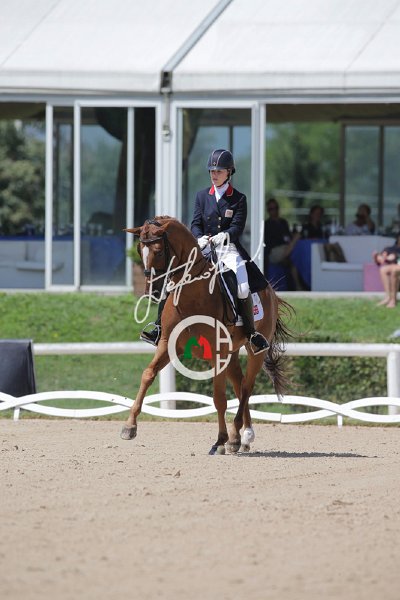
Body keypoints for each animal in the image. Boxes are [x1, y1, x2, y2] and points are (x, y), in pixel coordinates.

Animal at [121, 216, 294, 454]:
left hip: (254, 351)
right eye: (140, 249)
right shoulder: (168, 343)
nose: (152, 292)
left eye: (158, 250)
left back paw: (238, 436)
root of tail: (270, 291)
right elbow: (148, 374)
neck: (192, 294)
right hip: (231, 353)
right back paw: (242, 438)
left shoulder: (217, 352)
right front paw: (129, 427)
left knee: (247, 387)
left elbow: (219, 397)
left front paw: (220, 440)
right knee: (240, 385)